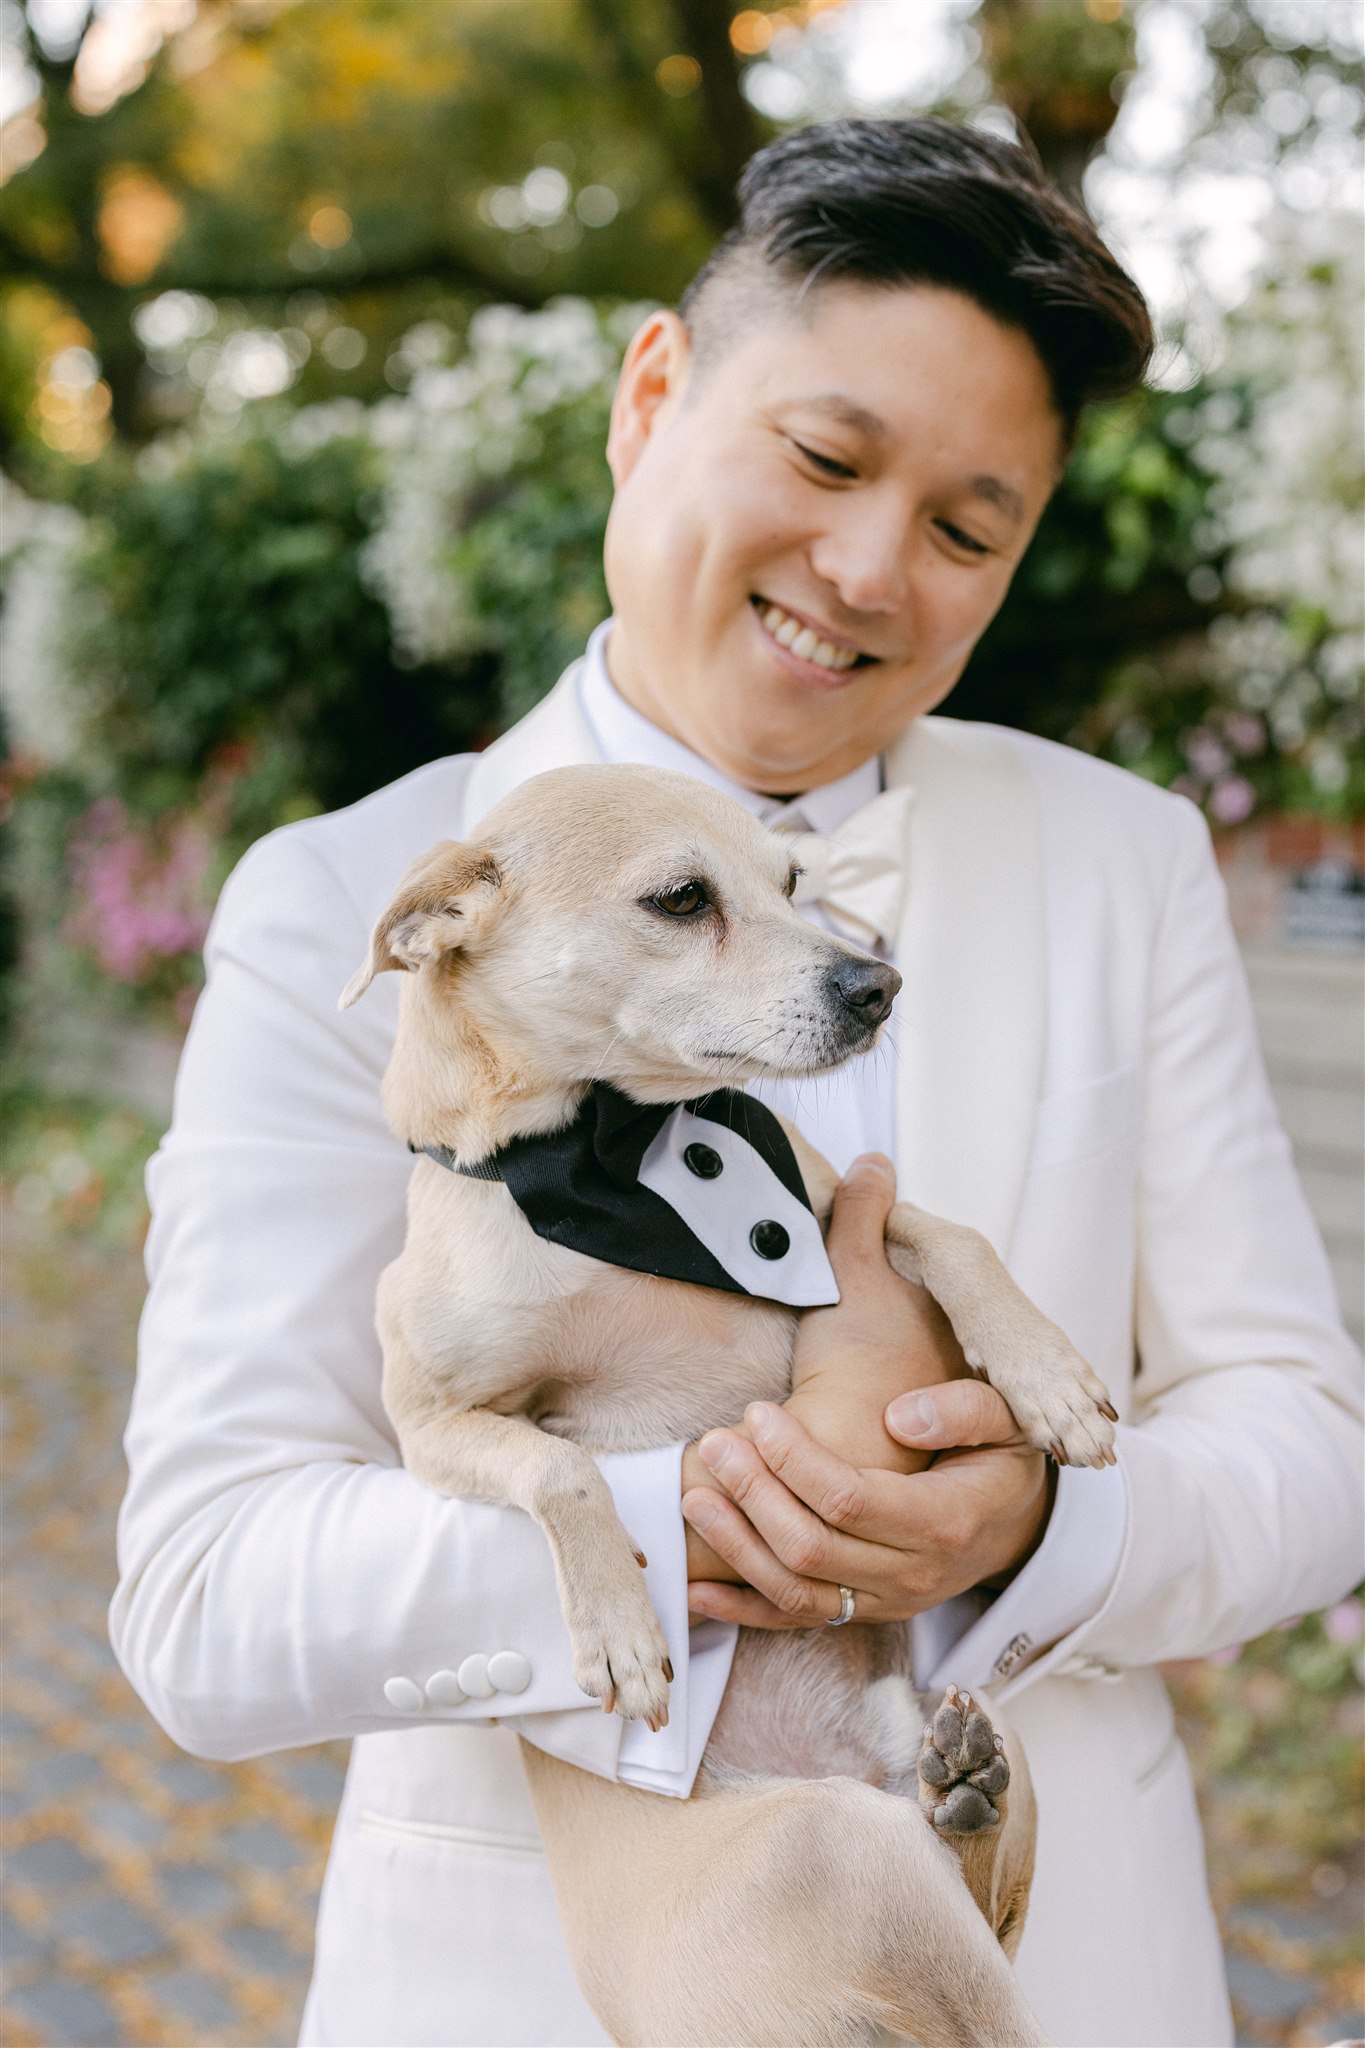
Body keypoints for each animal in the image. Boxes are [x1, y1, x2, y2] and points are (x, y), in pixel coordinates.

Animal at [343, 770, 1121, 2048]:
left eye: (794, 881)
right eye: (680, 898)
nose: (878, 985)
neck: (608, 1162)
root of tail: (844, 1774)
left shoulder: (839, 1209)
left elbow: (956, 1235)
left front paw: (1047, 1375)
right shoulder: (431, 1425)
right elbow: (558, 1465)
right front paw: (621, 1629)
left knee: (990, 1895)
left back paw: (964, 1786)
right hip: (842, 1851)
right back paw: (955, 1793)